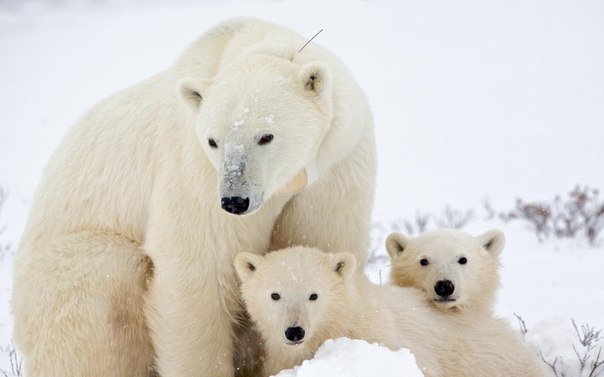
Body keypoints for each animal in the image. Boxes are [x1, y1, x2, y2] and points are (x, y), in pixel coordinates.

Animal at [11, 17, 376, 376]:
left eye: (266, 136)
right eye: (213, 140)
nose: (234, 201)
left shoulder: (335, 167)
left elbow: (319, 242)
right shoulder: (195, 168)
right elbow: (199, 265)